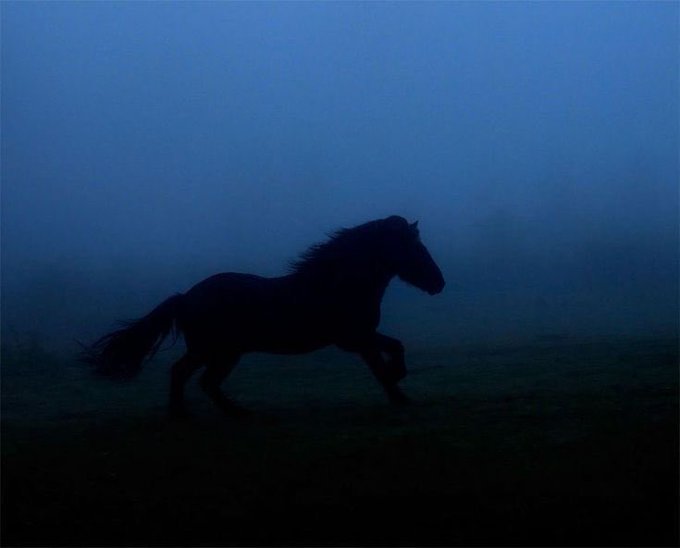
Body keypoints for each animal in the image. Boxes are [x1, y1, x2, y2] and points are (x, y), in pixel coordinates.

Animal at [82, 215, 445, 418]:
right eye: (414, 248)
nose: (438, 283)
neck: (336, 285)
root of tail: (185, 297)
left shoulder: (361, 339)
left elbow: (390, 353)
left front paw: (400, 388)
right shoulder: (355, 339)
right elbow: (386, 361)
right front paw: (400, 391)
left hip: (221, 352)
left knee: (201, 381)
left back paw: (231, 413)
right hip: (215, 351)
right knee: (188, 375)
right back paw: (193, 414)